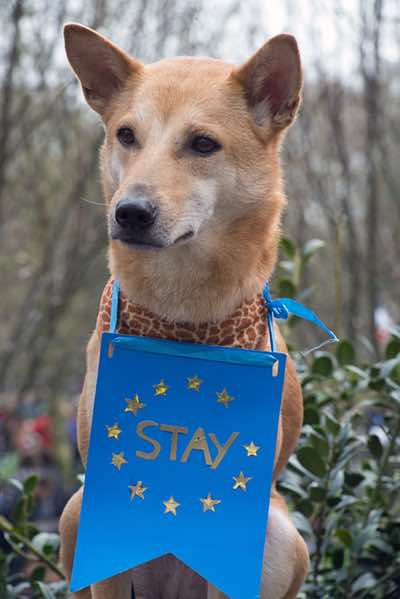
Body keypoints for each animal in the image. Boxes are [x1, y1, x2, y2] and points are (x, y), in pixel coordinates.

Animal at [59, 23, 310, 599]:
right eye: (126, 135)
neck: (182, 324)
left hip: (280, 534)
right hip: (75, 510)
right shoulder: (103, 508)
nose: (129, 212)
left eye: (202, 144)